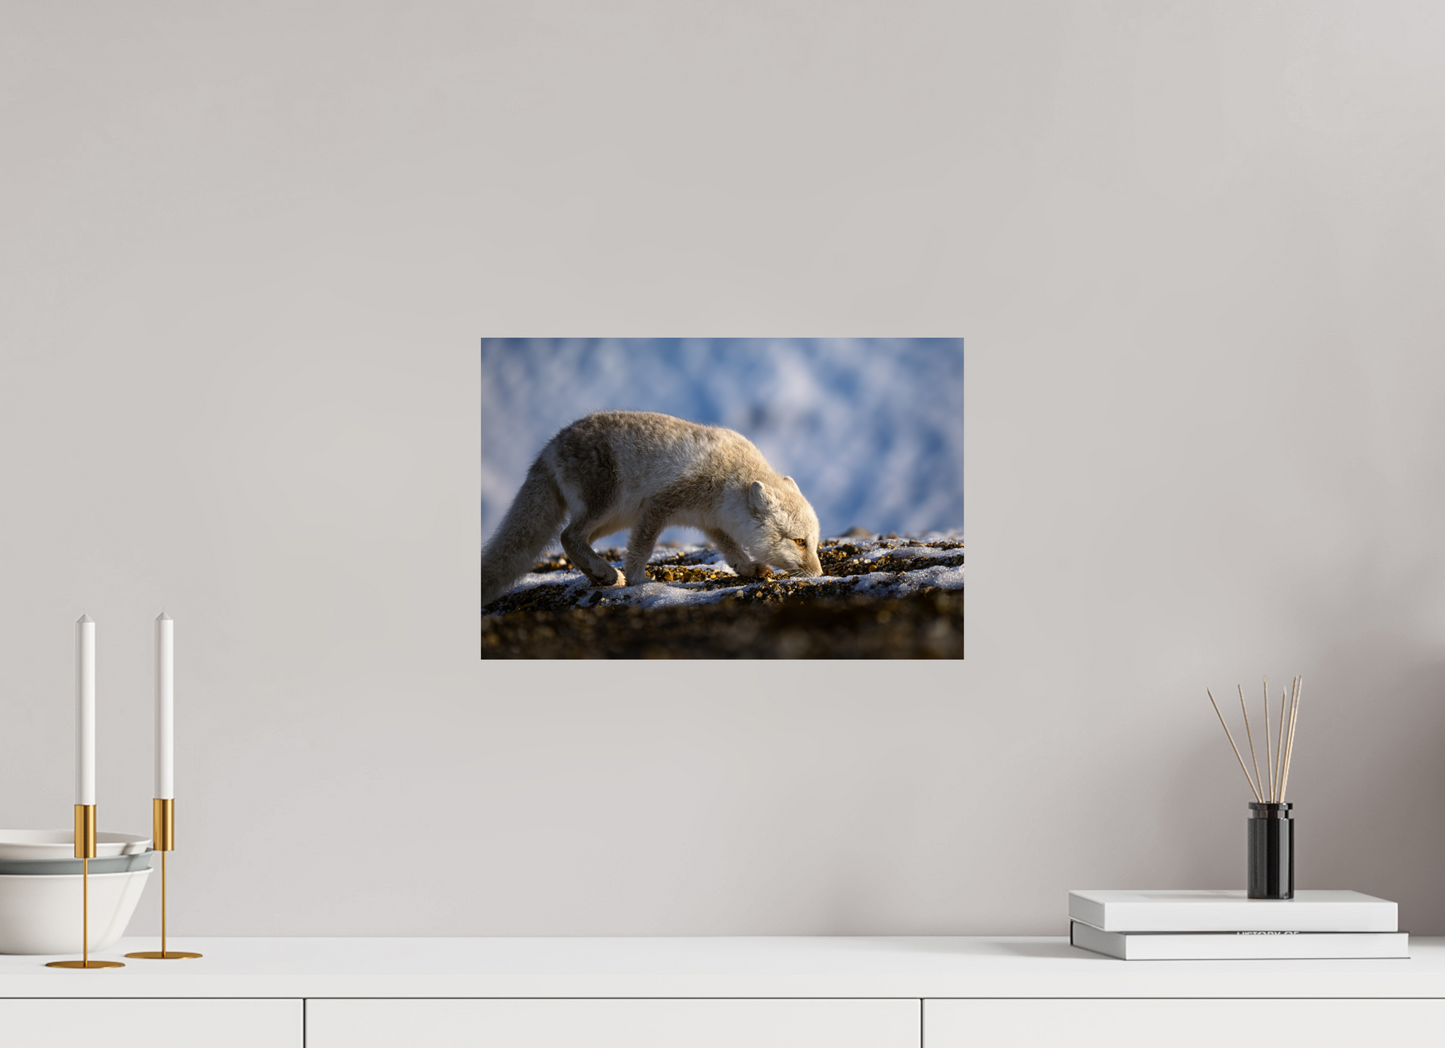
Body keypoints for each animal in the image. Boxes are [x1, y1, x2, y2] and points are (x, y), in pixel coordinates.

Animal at [480, 410, 824, 608]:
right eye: (799, 541)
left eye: (814, 543)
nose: (820, 575)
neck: (729, 480)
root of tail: (550, 446)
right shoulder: (658, 505)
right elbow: (642, 547)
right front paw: (639, 581)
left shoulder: (711, 523)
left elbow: (732, 551)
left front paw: (750, 569)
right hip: (609, 504)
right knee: (568, 535)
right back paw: (608, 573)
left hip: (613, 518)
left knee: (573, 539)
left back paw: (598, 575)